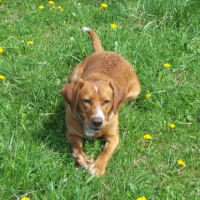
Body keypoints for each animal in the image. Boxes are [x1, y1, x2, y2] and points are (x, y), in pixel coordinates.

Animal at [61, 27, 141, 177]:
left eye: (106, 101)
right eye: (86, 101)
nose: (97, 121)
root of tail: (104, 51)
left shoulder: (114, 137)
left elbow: (106, 152)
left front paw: (97, 167)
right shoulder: (71, 134)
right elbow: (76, 148)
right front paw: (81, 160)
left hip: (135, 92)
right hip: (73, 76)